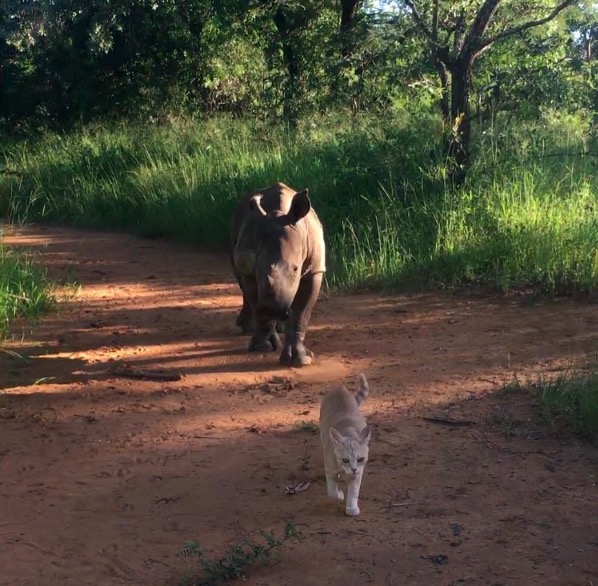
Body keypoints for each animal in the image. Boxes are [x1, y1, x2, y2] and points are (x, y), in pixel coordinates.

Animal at [231, 181, 326, 364]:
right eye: (257, 268)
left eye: (295, 268)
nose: (270, 308)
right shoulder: (248, 269)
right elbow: (255, 300)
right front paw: (263, 347)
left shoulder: (314, 270)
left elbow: (301, 315)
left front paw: (300, 360)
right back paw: (249, 328)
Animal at [322, 372, 372, 512]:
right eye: (345, 460)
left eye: (360, 459)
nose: (353, 469)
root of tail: (339, 388)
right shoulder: (329, 470)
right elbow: (331, 492)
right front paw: (339, 495)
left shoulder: (357, 474)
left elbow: (353, 491)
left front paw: (351, 507)